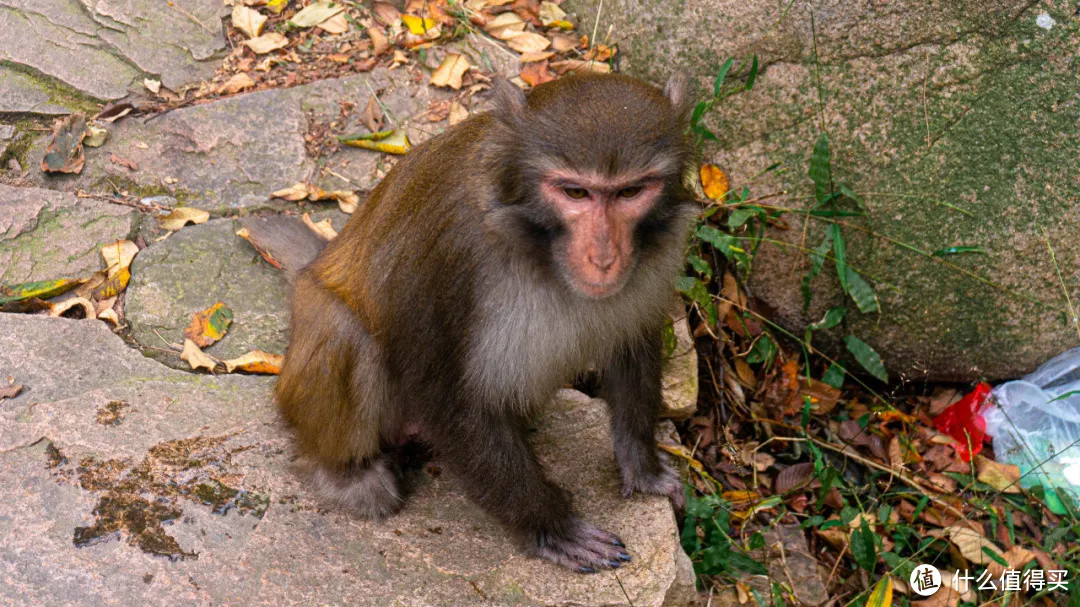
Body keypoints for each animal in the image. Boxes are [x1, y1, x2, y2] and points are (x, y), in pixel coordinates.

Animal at [241, 71, 695, 570]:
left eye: (631, 191)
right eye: (576, 192)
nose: (604, 257)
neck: (534, 244)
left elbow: (633, 343)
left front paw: (643, 467)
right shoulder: (455, 250)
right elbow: (444, 395)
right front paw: (551, 526)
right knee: (347, 334)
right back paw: (342, 476)